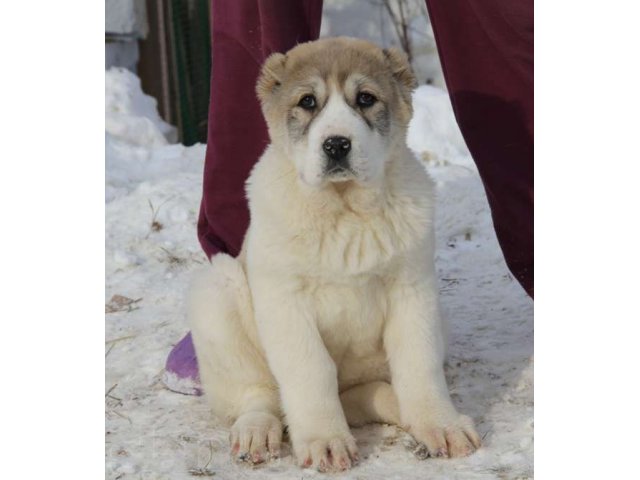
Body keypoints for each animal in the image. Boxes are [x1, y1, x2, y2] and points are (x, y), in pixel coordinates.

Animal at [189, 37, 480, 472]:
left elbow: (419, 363)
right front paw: (325, 440)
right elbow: (311, 370)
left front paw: (440, 424)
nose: (337, 144)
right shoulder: (285, 303)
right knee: (259, 395)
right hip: (217, 290)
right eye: (308, 102)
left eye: (366, 99)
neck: (345, 211)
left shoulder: (413, 290)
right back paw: (257, 430)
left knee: (373, 391)